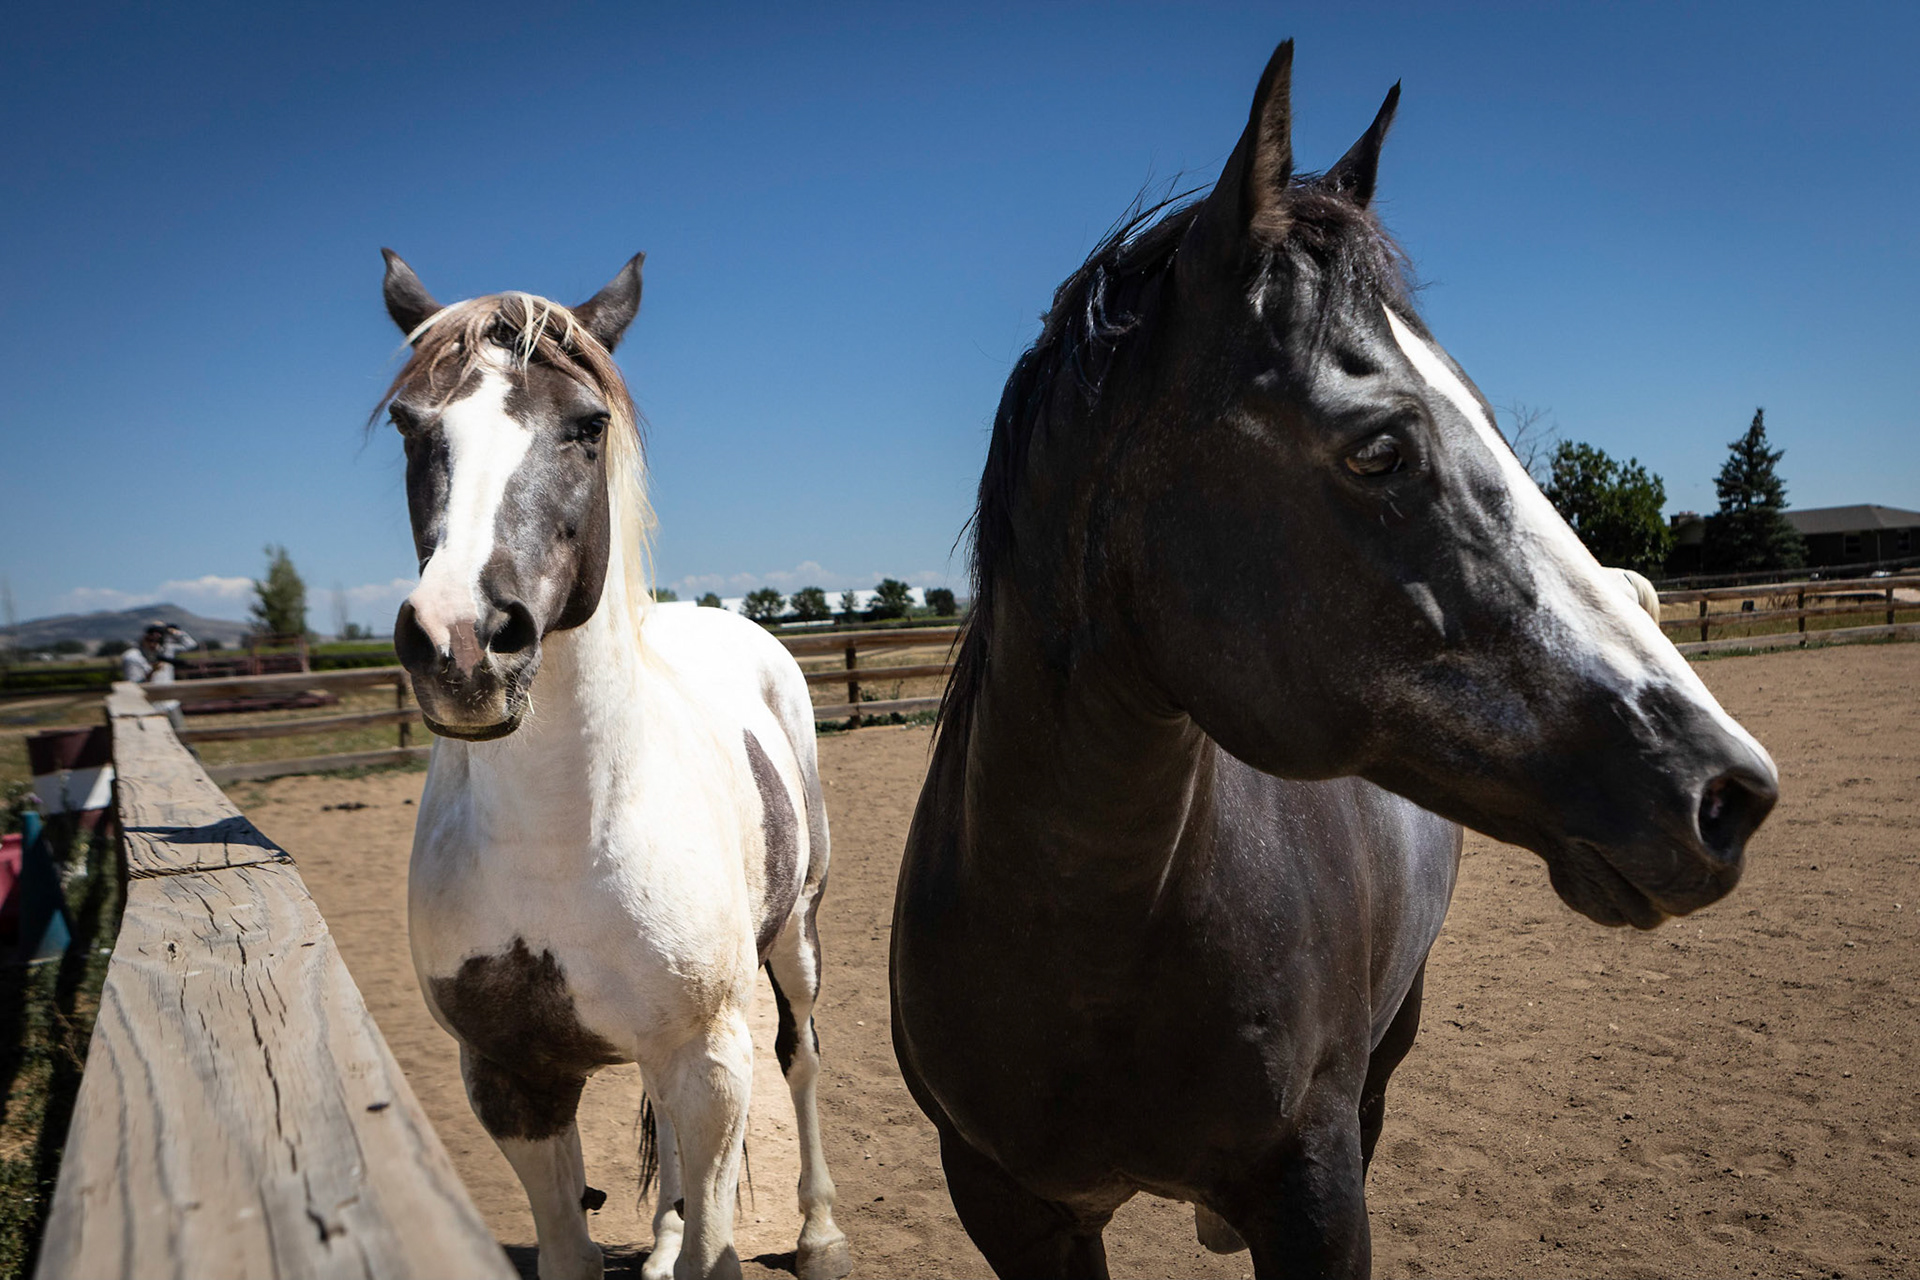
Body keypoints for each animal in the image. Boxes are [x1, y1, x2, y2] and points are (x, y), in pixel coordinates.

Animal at [374, 252, 852, 1280]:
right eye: (410, 425)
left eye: (587, 425)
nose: (463, 642)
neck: (560, 835)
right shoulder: (512, 1078)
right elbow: (573, 1246)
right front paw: (662, 1239)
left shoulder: (712, 1059)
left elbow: (719, 1240)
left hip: (795, 938)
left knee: (800, 1055)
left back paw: (820, 1232)